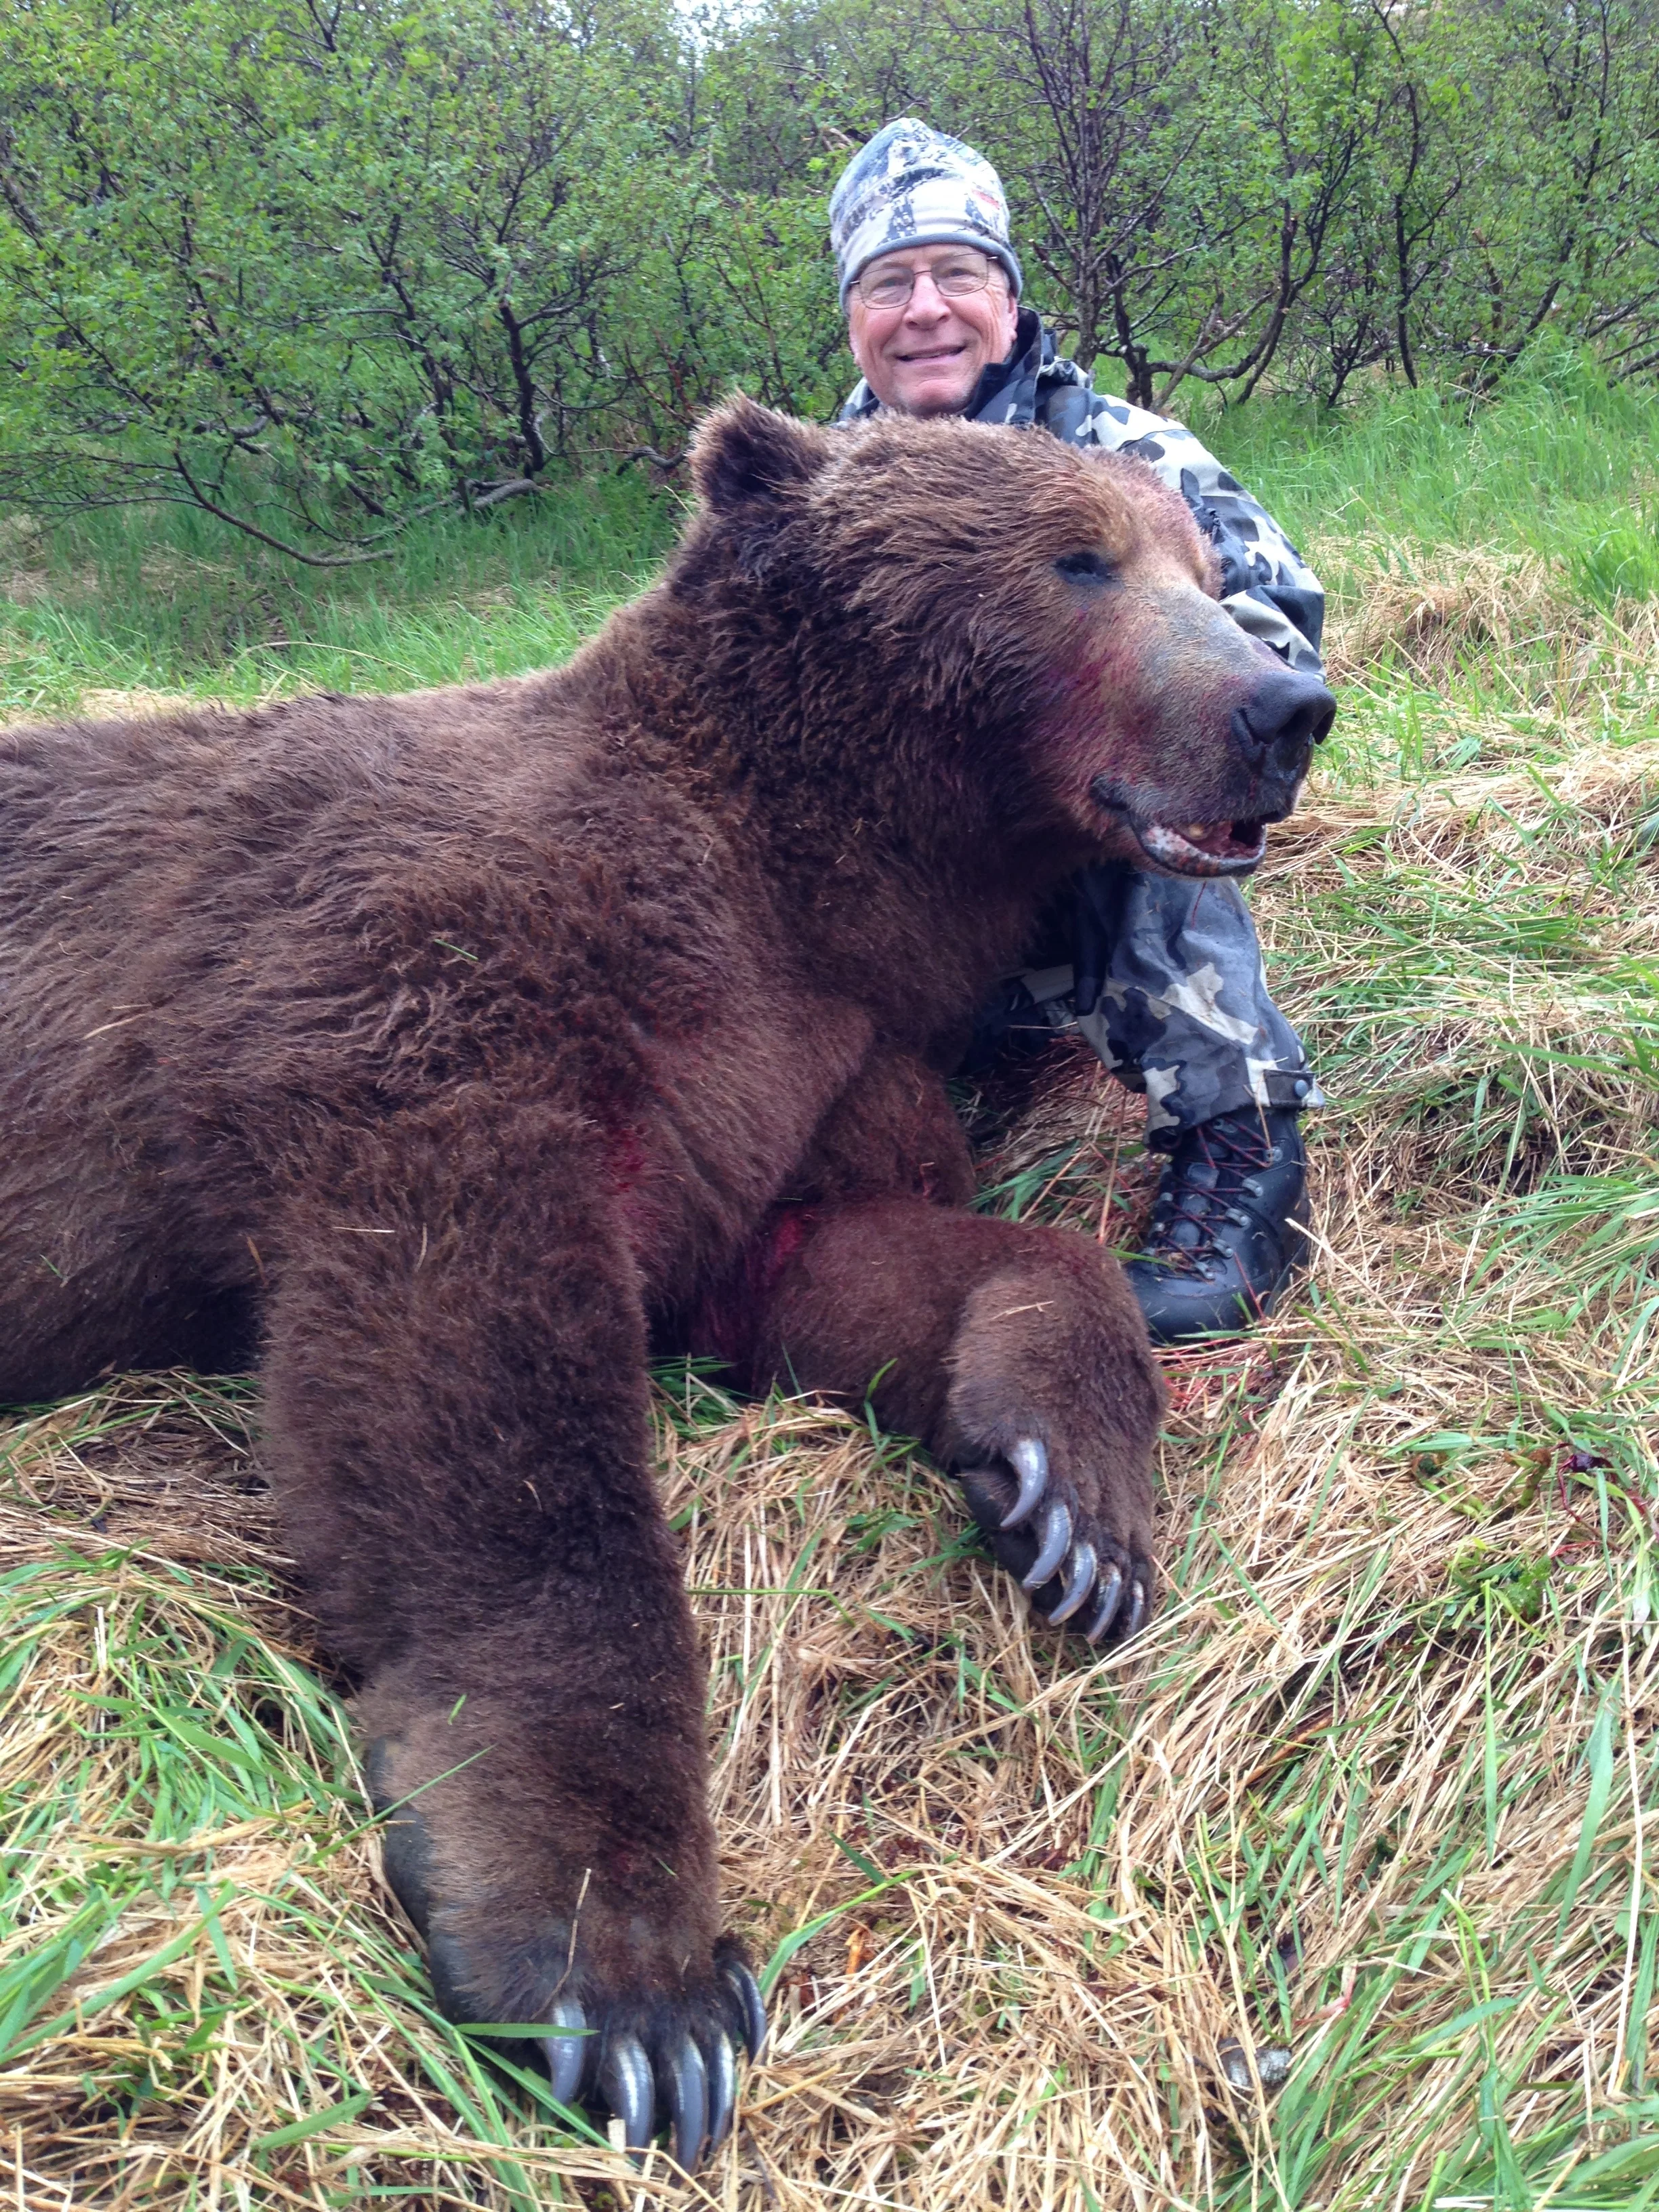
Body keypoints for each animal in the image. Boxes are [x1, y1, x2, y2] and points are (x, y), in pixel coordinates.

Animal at [0, 399, 1333, 2173]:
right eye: (1076, 559)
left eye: (1196, 556)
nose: (1282, 706)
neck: (783, 865)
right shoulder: (423, 1008)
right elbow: (483, 1401)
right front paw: (635, 1988)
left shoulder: (789, 1063)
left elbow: (857, 1255)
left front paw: (1074, 1514)